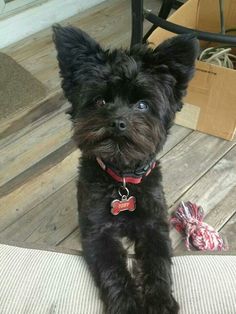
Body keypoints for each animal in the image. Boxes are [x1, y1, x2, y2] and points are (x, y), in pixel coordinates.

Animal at [52, 25, 198, 314]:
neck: (122, 179)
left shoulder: (154, 224)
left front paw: (159, 301)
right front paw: (128, 305)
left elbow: (158, 262)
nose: (117, 122)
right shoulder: (98, 231)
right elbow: (113, 270)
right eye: (100, 101)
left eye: (142, 104)